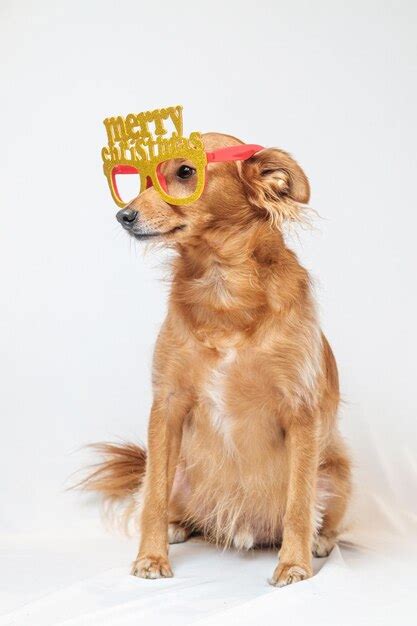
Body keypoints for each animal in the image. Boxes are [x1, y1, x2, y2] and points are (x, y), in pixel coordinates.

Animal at [83, 132, 352, 584]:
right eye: (142, 178)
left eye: (185, 172)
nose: (124, 215)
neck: (222, 284)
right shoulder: (168, 405)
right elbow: (153, 496)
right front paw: (151, 556)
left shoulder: (301, 410)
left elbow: (299, 503)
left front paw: (294, 564)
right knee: (165, 496)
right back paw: (176, 527)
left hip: (338, 472)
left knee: (320, 511)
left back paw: (321, 541)